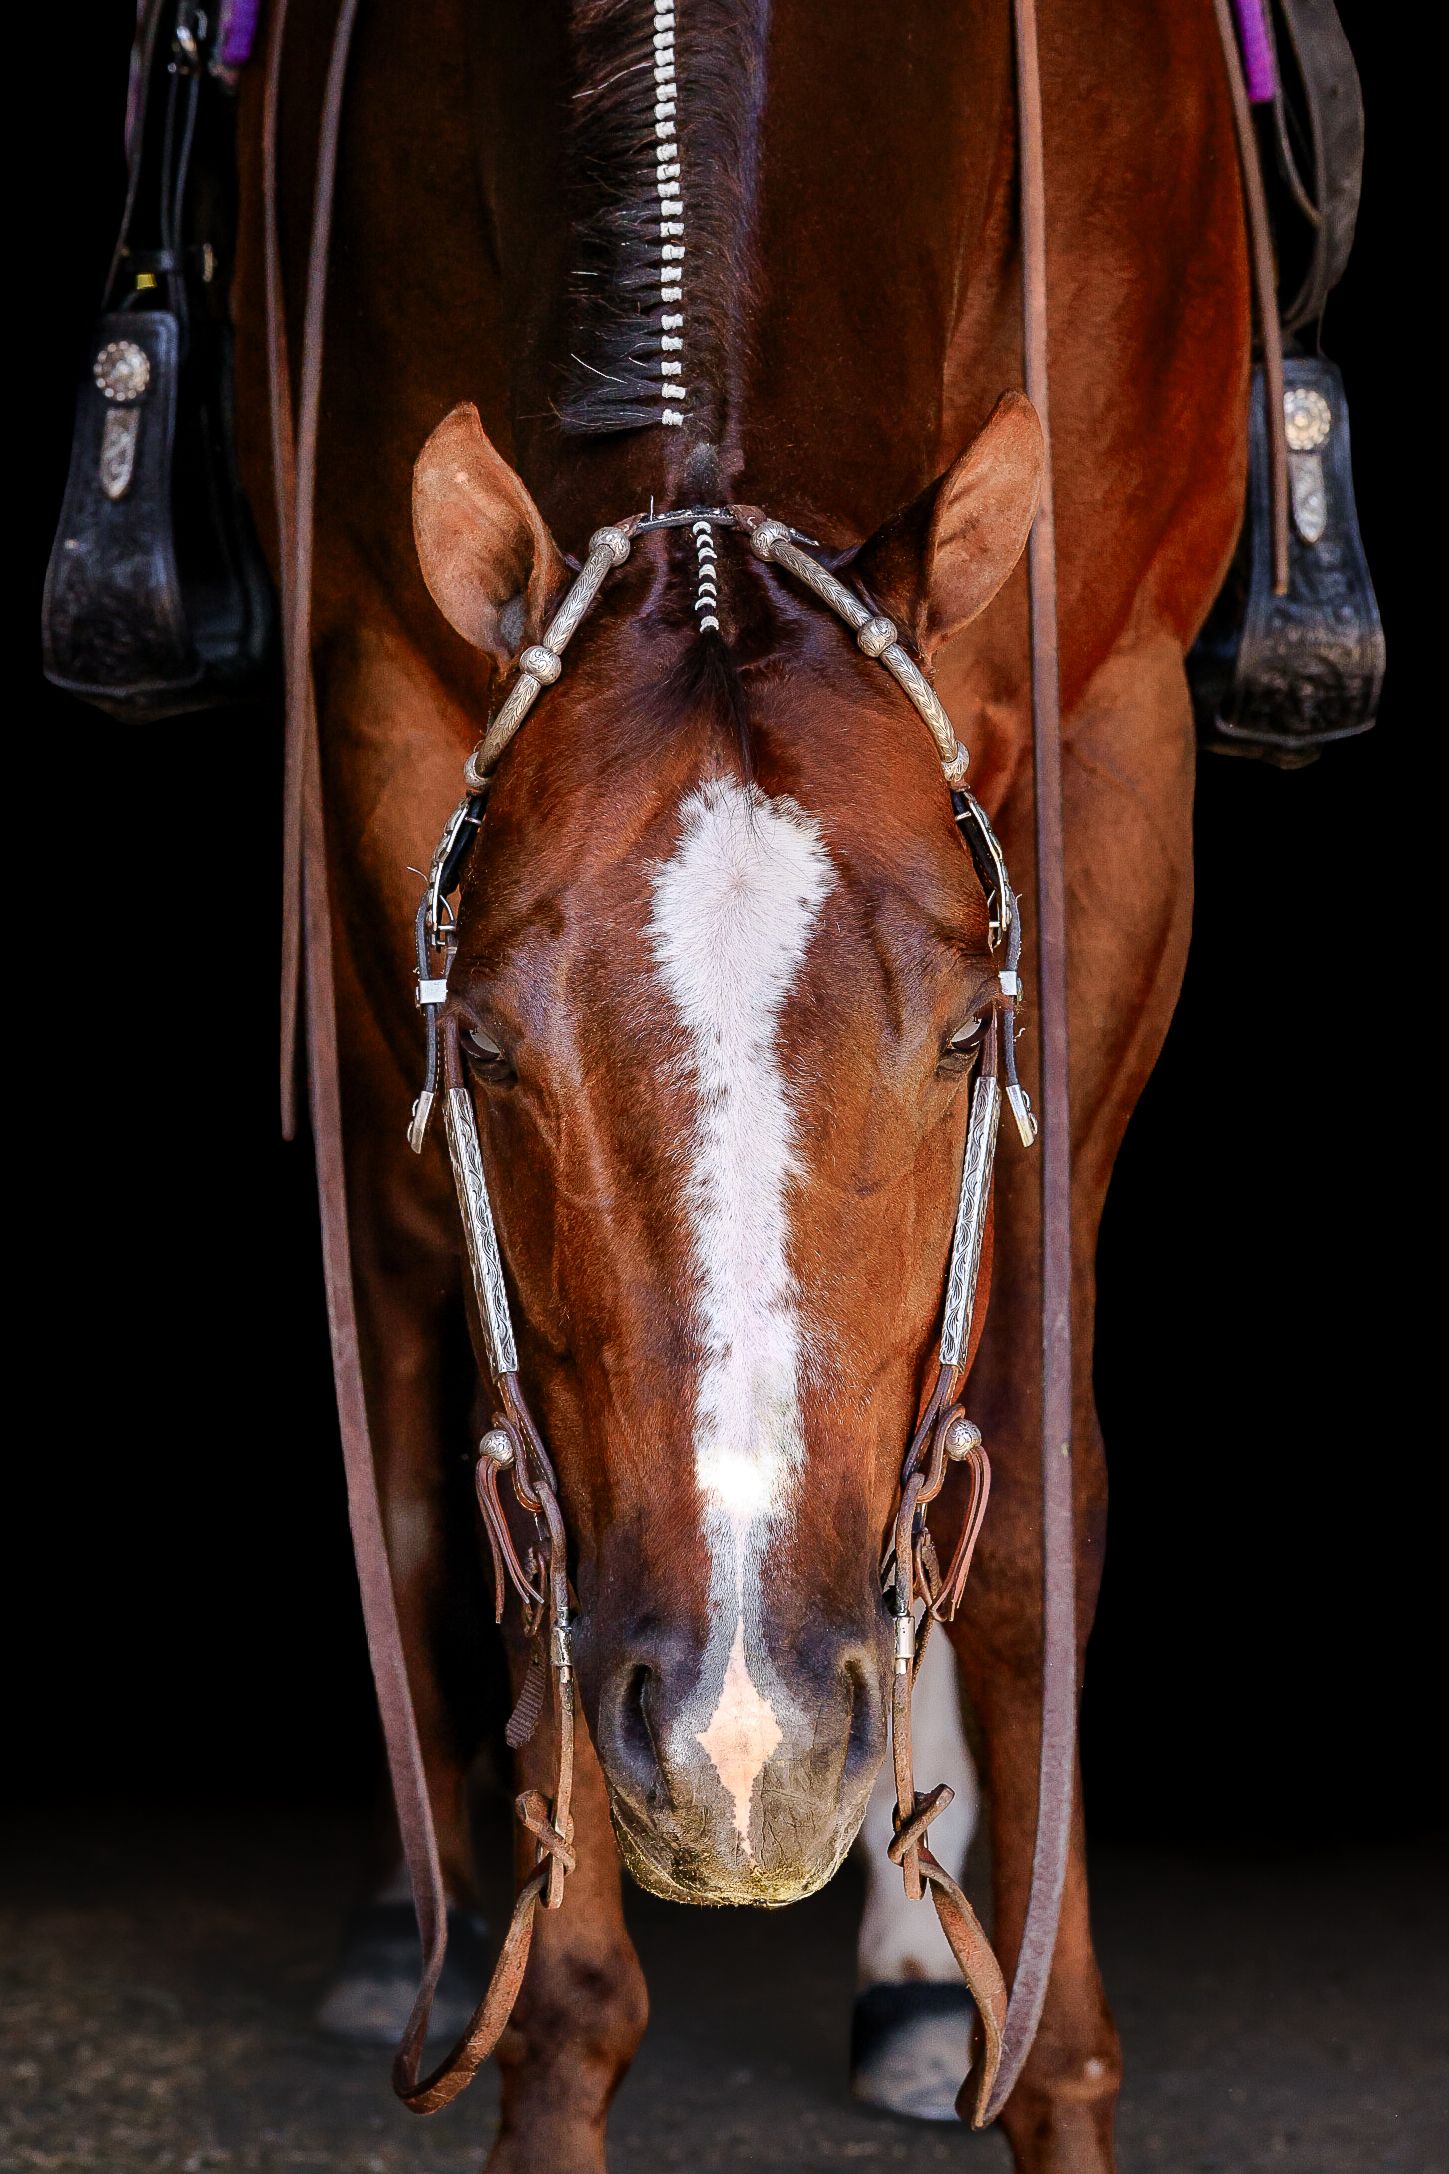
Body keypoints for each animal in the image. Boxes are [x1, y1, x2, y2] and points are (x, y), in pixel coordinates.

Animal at [237, 0, 1249, 2164]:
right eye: (493, 1043)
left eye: (958, 1032)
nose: (739, 1743)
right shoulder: (385, 716)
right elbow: (513, 1462)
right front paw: (549, 2027)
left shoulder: (1108, 732)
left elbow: (1024, 1506)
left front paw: (1044, 2061)